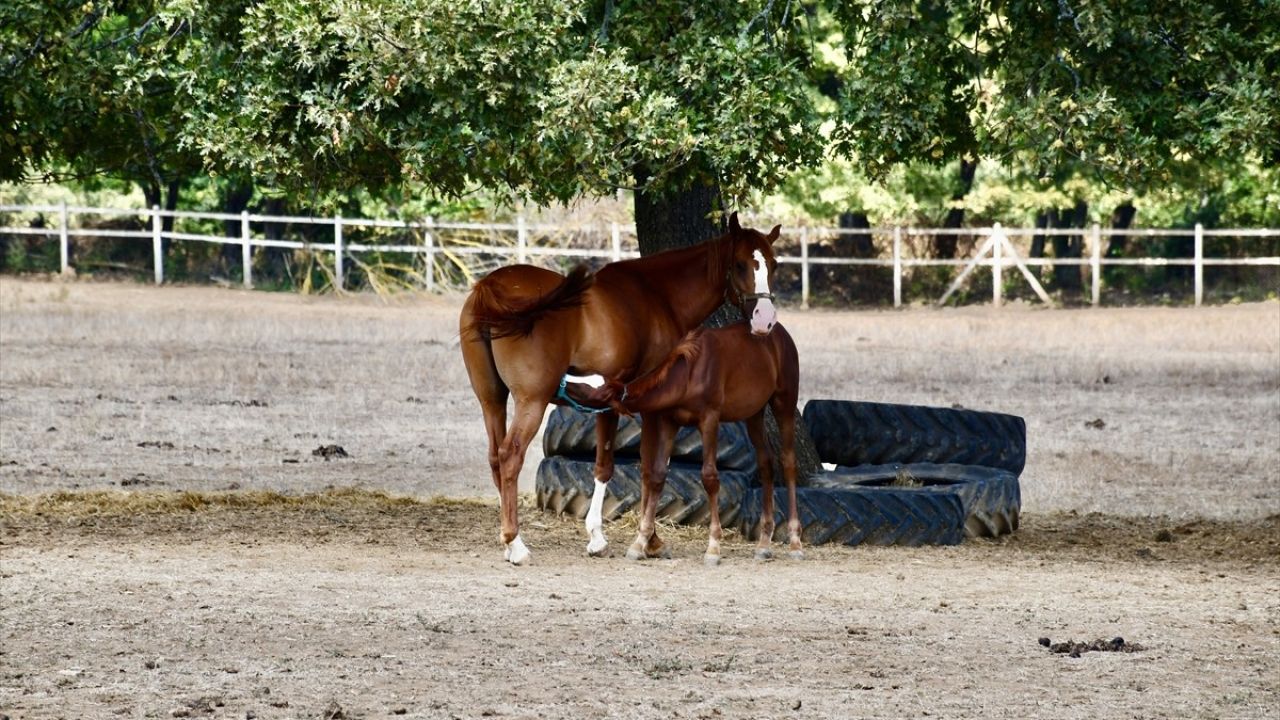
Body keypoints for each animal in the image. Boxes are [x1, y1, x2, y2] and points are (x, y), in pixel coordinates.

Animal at [460, 210, 778, 563]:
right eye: (740, 264)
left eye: (773, 264)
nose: (764, 318)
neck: (658, 295)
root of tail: (491, 286)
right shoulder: (651, 405)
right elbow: (649, 468)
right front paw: (646, 540)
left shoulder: (608, 403)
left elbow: (605, 466)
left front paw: (603, 536)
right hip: (532, 401)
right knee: (510, 456)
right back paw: (515, 544)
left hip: (491, 399)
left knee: (495, 457)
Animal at [578, 322, 803, 563]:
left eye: (591, 392)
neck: (689, 373)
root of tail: (779, 331)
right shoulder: (669, 422)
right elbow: (657, 476)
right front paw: (640, 543)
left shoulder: (710, 420)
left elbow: (710, 478)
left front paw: (713, 546)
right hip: (754, 413)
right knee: (765, 463)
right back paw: (763, 543)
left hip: (784, 404)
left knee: (788, 462)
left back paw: (795, 542)